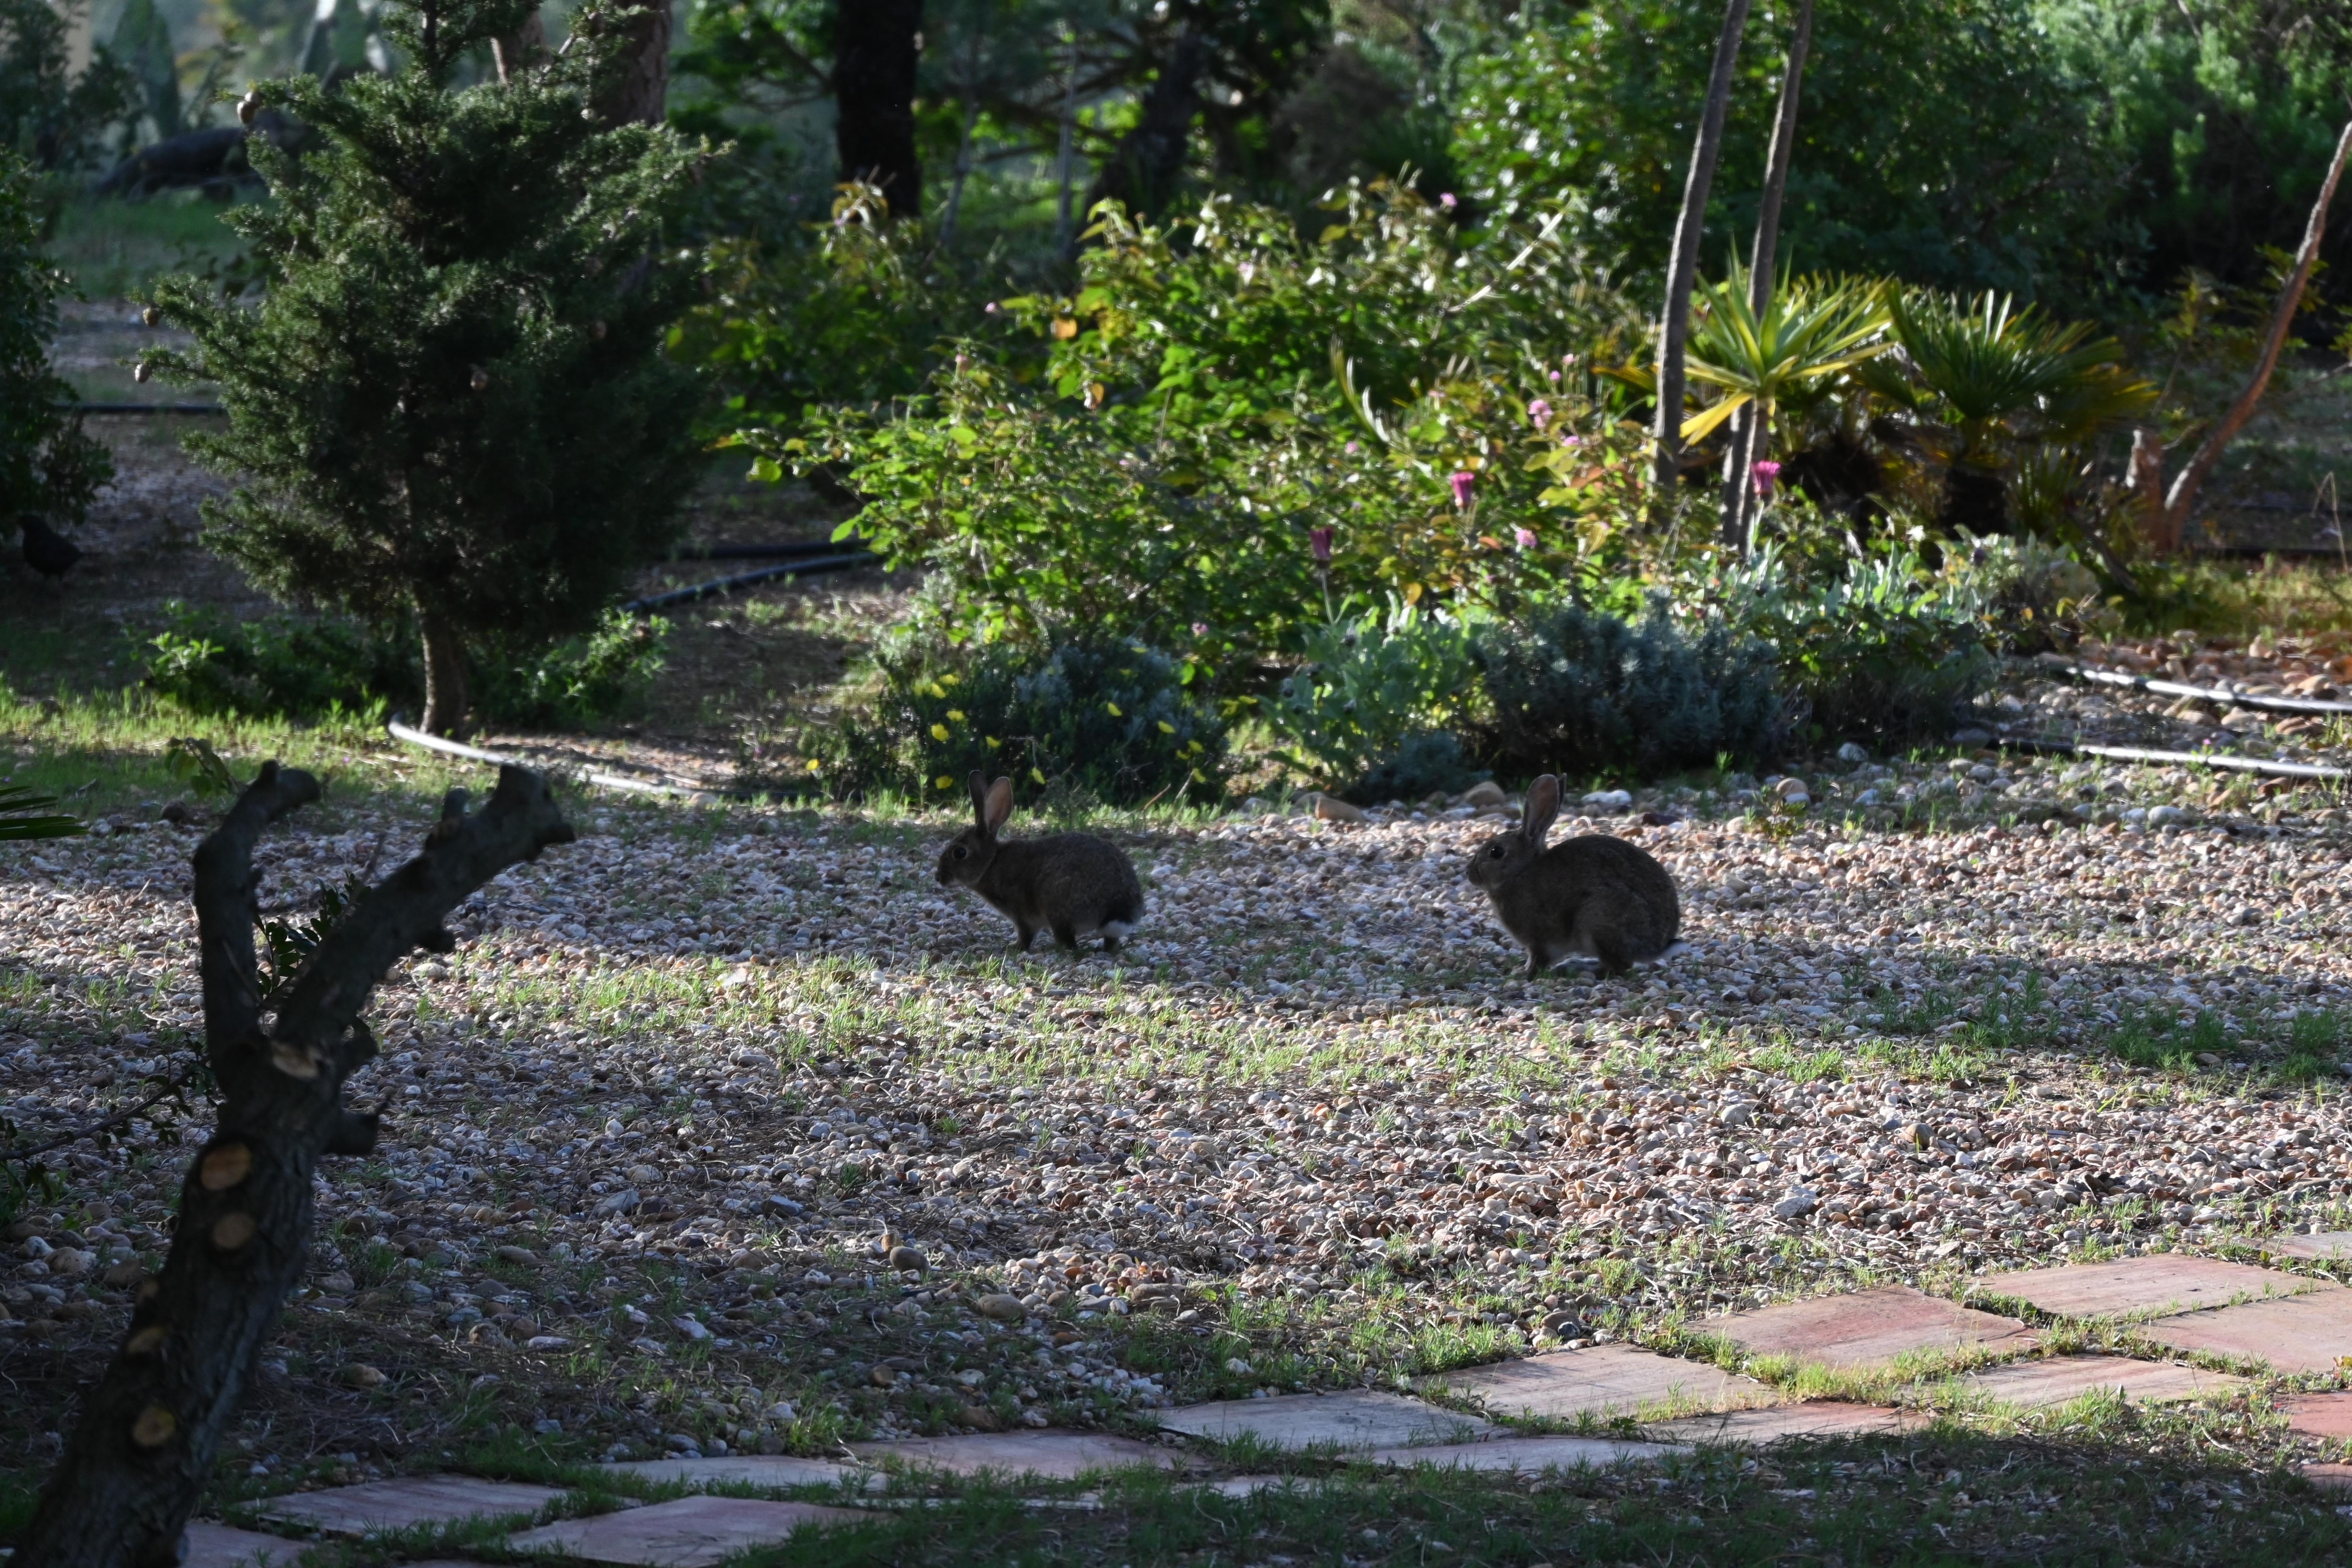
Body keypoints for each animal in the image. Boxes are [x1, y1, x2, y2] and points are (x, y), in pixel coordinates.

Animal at [936, 772, 1144, 953]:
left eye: (960, 853)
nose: (939, 878)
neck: (991, 863)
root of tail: (1117, 904)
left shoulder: (1023, 916)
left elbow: (1026, 935)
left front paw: (1014, 948)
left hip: (1058, 907)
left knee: (1068, 942)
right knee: (1110, 942)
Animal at [1465, 773, 1681, 978]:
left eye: (1496, 852)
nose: (1469, 873)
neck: (1519, 872)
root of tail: (1656, 948)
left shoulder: (1539, 939)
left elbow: (1538, 958)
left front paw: (1524, 973)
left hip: (1598, 921)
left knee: (1619, 966)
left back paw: (1580, 967)